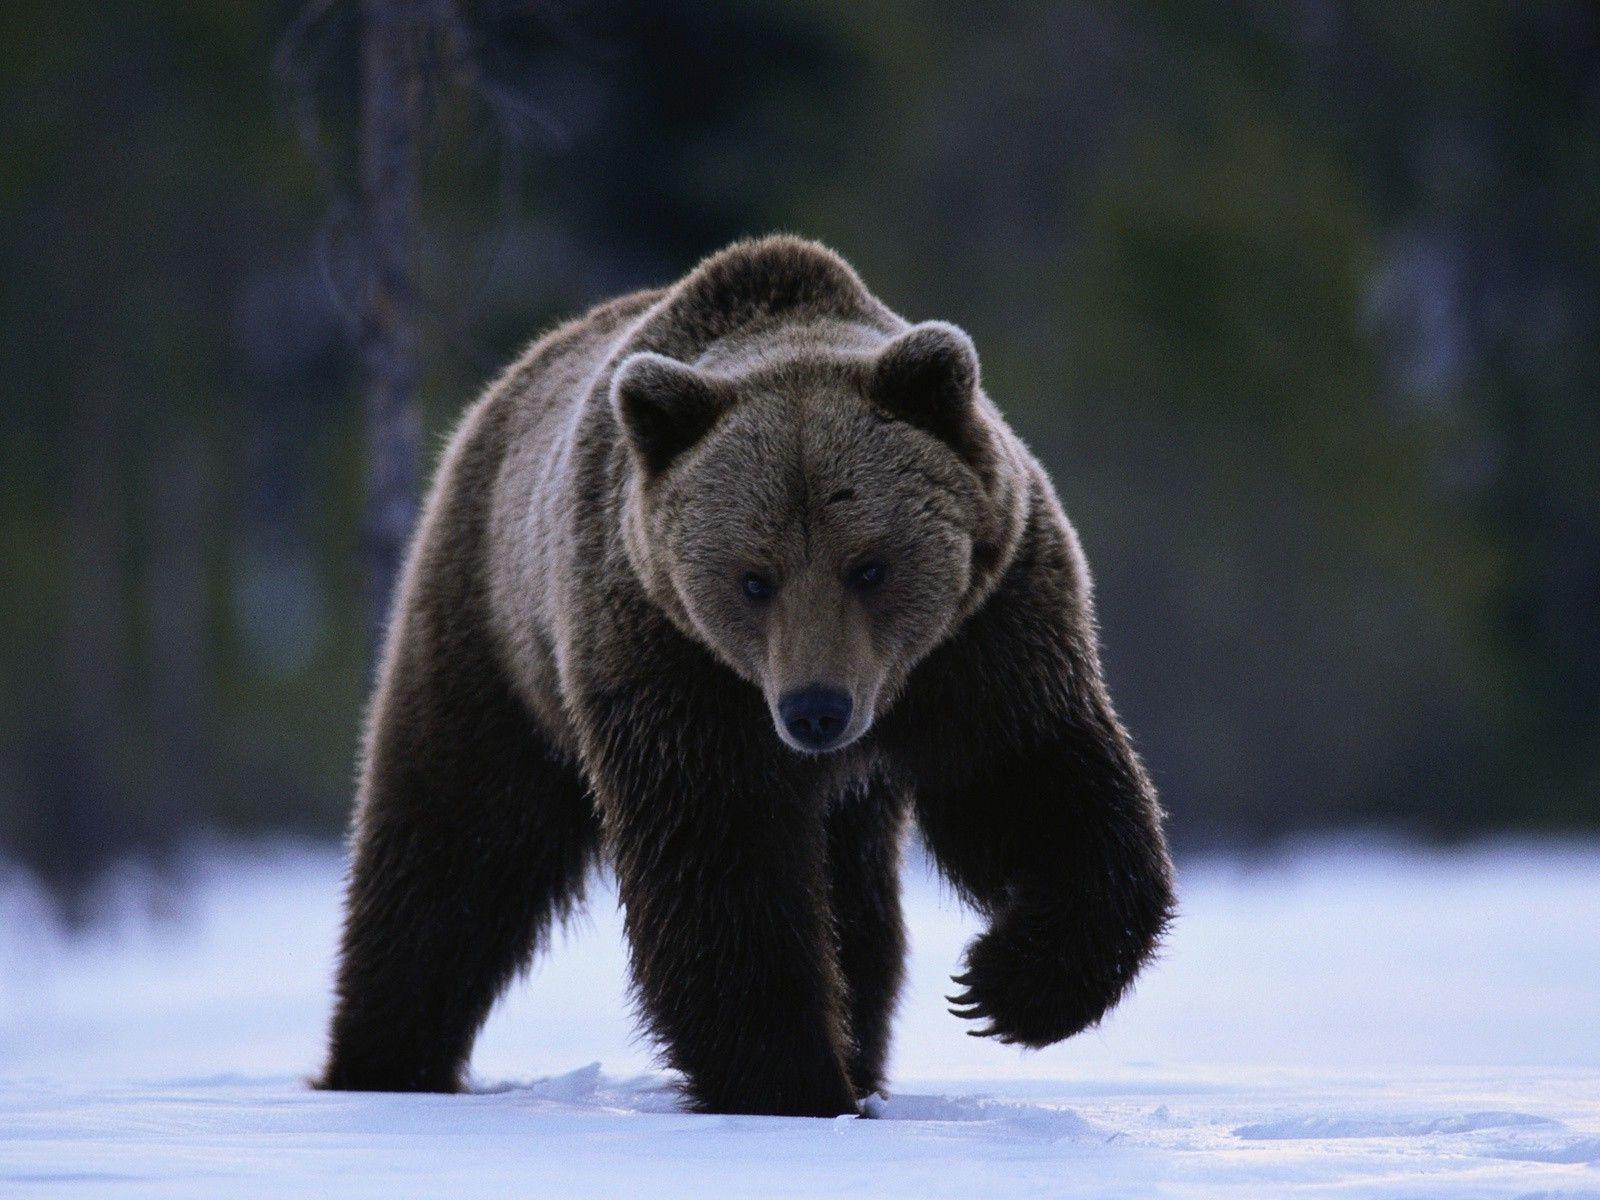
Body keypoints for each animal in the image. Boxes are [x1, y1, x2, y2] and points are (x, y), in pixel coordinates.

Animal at [319, 235, 1174, 1117]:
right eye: (754, 578)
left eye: (869, 566)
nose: (815, 709)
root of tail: (496, 395)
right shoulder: (669, 660)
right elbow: (721, 862)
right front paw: (790, 1082)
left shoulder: (986, 633)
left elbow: (1033, 782)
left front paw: (1006, 986)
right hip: (494, 636)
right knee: (455, 847)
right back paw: (384, 1061)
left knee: (859, 907)